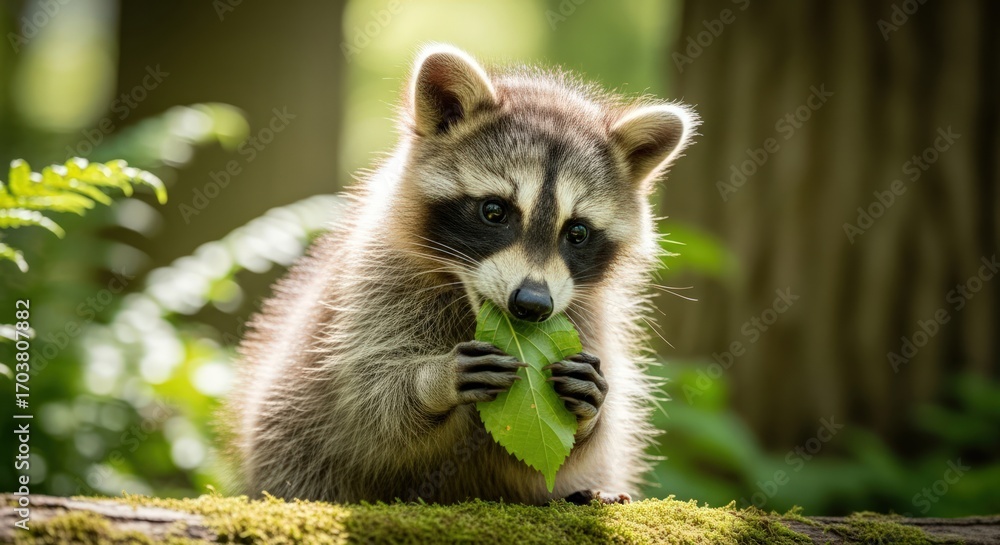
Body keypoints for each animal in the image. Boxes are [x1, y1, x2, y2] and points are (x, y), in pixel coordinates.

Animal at [228, 44, 697, 505]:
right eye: (494, 211)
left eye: (577, 232)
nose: (532, 304)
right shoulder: (372, 287)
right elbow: (366, 403)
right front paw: (431, 382)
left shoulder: (586, 315)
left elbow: (567, 450)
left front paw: (590, 415)